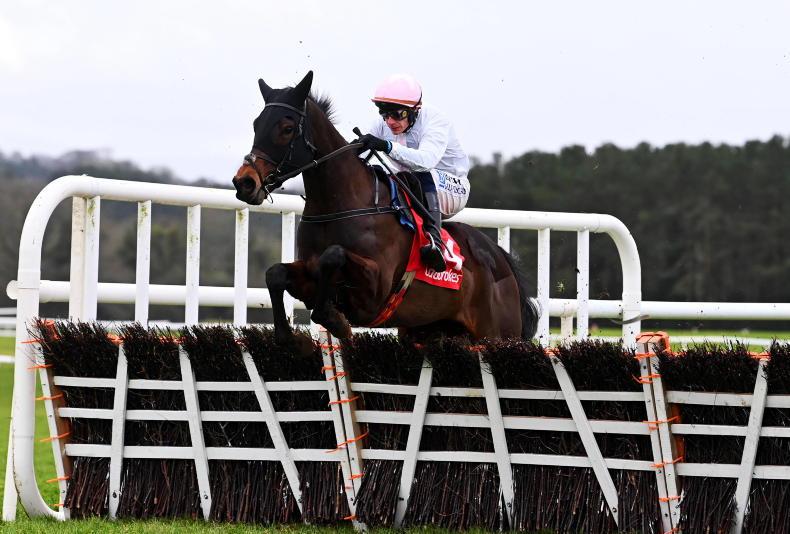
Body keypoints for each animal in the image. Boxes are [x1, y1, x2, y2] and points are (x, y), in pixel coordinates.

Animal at [231, 71, 538, 345]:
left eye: (287, 128)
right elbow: (275, 274)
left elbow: (333, 255)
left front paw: (335, 322)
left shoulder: (374, 291)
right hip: (428, 331)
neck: (340, 206)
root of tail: (499, 257)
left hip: (497, 334)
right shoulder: (308, 276)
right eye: (256, 124)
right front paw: (288, 336)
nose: (245, 182)